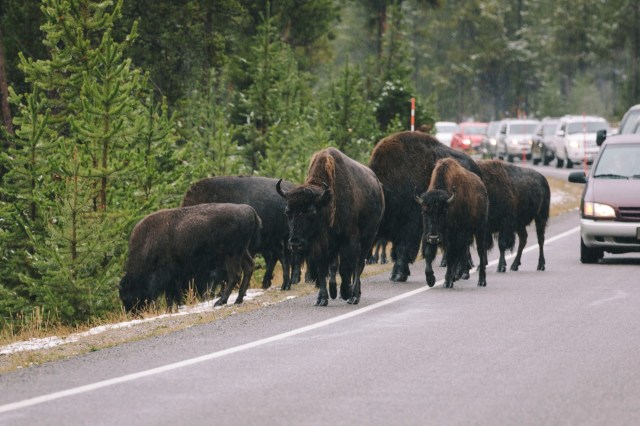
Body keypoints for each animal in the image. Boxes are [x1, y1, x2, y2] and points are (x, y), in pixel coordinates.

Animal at [118, 203, 261, 313]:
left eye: (126, 295)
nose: (133, 313)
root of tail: (250, 211)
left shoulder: (165, 275)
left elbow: (169, 294)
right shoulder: (174, 276)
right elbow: (173, 294)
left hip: (231, 254)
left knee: (235, 275)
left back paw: (221, 302)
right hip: (242, 252)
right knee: (249, 267)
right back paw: (238, 300)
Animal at [276, 147, 385, 306]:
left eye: (311, 211)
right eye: (287, 212)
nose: (295, 242)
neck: (326, 202)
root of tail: (378, 185)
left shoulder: (349, 239)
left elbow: (345, 268)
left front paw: (346, 293)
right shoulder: (320, 245)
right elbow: (323, 270)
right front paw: (322, 299)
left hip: (368, 238)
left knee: (358, 265)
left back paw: (354, 295)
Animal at [368, 131, 482, 282]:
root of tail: (475, 168)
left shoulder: (410, 228)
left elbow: (403, 249)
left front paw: (399, 275)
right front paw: (395, 274)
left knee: (463, 246)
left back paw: (462, 272)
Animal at [415, 158, 489, 288]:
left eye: (444, 213)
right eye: (424, 212)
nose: (434, 237)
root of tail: (482, 188)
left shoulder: (455, 236)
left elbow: (451, 257)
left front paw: (447, 281)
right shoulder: (426, 234)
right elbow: (428, 254)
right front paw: (430, 279)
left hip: (480, 230)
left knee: (480, 252)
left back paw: (481, 281)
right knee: (463, 252)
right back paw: (458, 275)